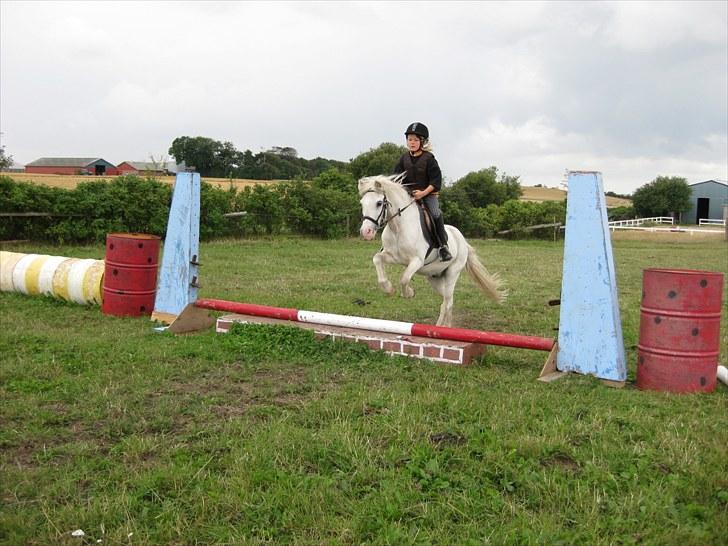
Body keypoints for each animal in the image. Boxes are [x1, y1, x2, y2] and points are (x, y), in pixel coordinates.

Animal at [358, 174, 506, 326]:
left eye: (379, 203)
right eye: (362, 203)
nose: (366, 232)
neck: (398, 228)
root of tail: (463, 241)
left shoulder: (417, 261)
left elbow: (404, 279)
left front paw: (409, 293)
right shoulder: (392, 256)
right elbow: (377, 259)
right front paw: (388, 289)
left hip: (452, 273)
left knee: (448, 301)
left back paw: (444, 327)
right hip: (434, 277)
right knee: (447, 300)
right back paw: (442, 326)